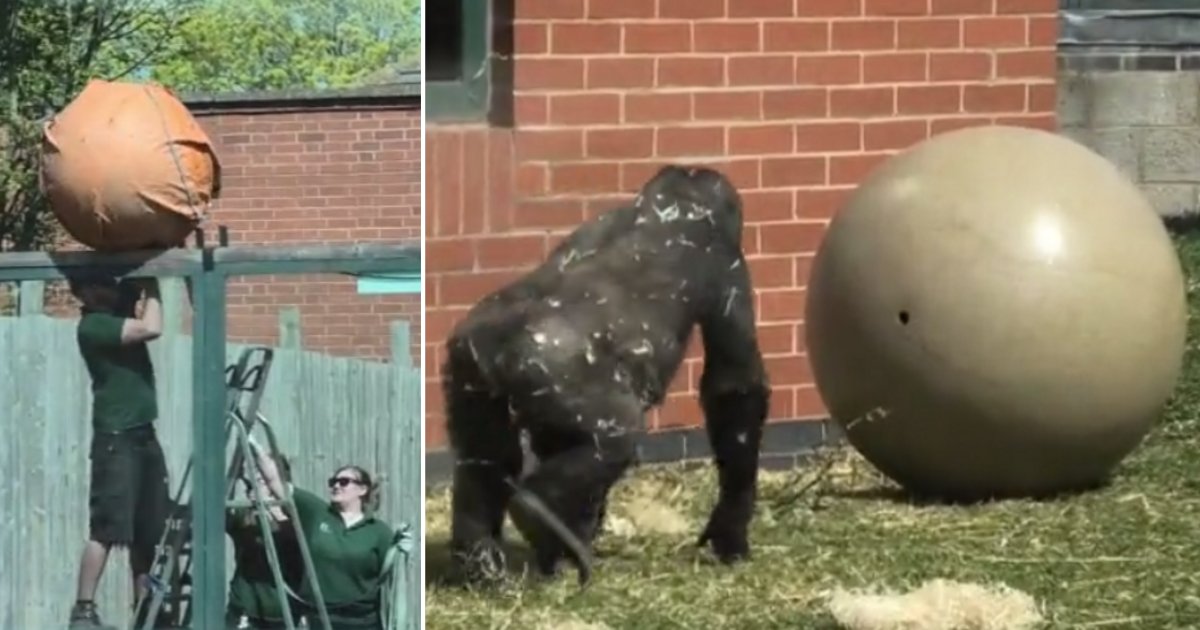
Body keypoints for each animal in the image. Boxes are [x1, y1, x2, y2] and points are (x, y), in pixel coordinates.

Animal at [446, 163, 772, 585]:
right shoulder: (725, 262)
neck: (669, 206)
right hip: (553, 373)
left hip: (470, 373)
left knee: (485, 459)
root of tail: (496, 341)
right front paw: (731, 527)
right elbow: (734, 384)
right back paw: (538, 515)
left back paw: (483, 561)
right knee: (615, 438)